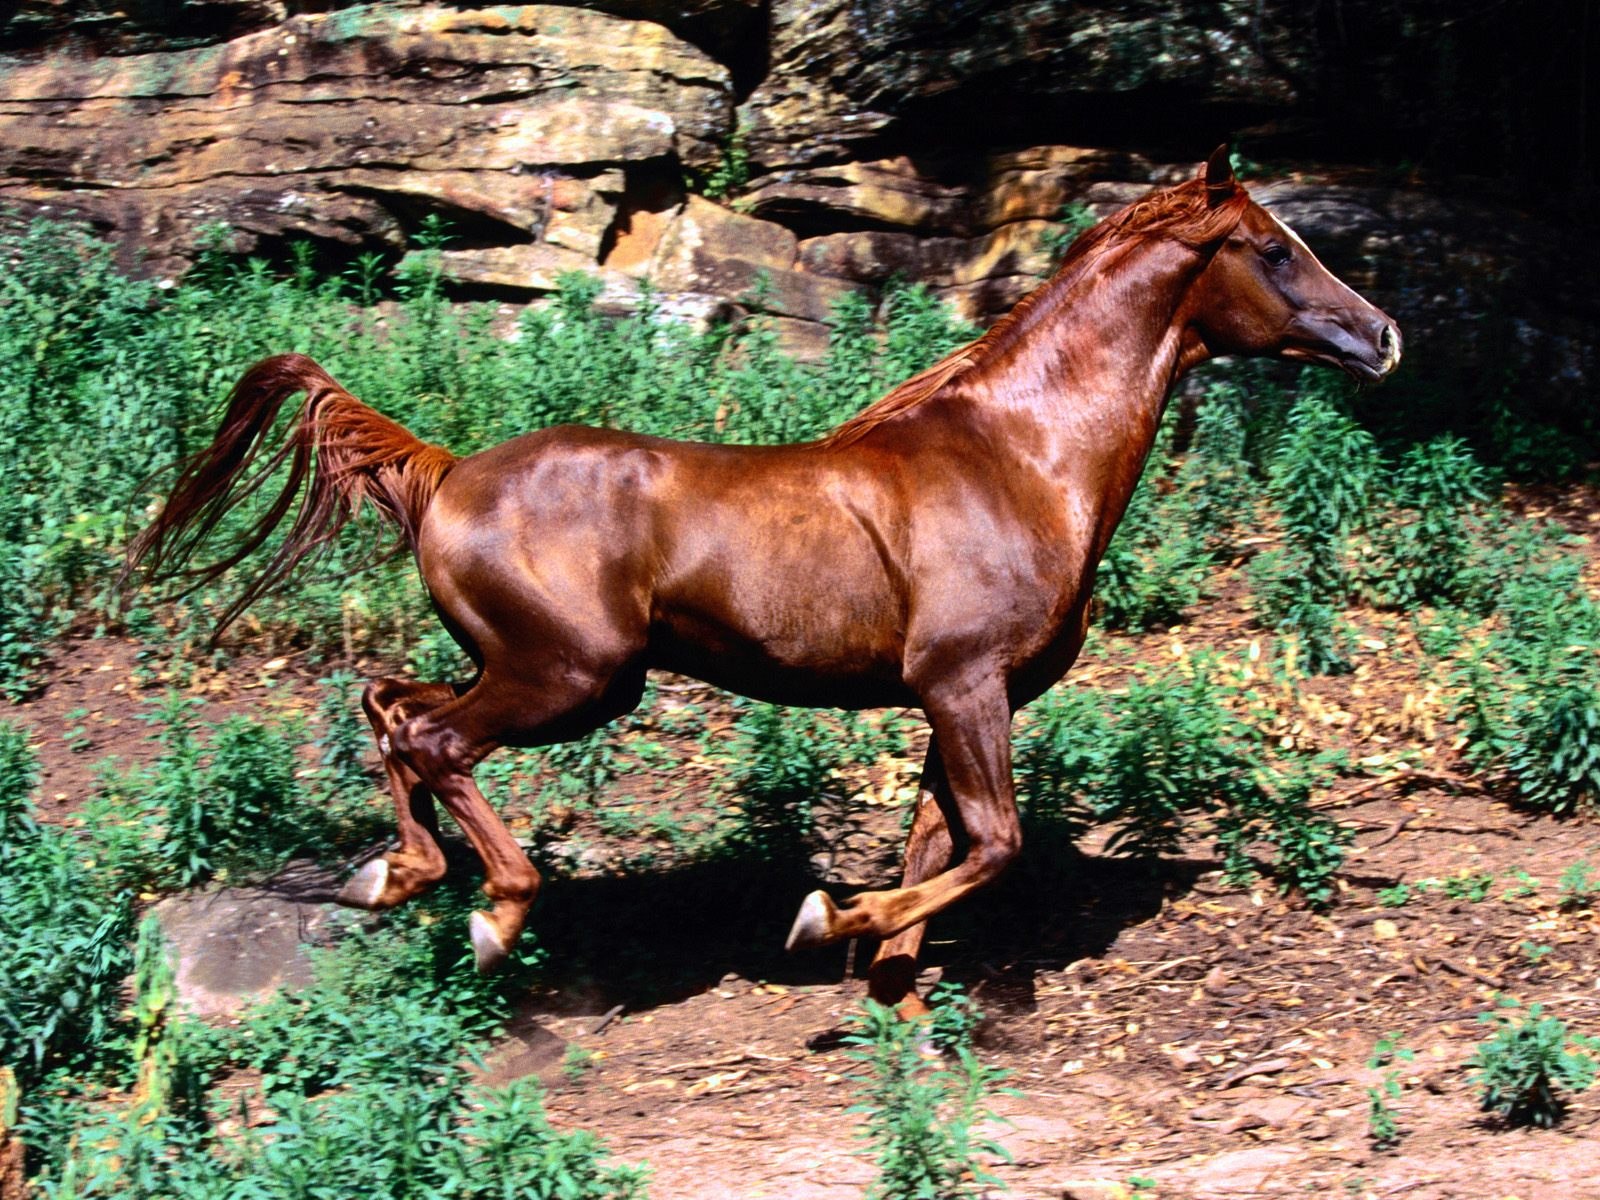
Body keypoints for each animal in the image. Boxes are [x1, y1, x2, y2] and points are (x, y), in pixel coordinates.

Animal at [128, 150, 1401, 1017]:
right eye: (1274, 247)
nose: (1384, 334)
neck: (1022, 460)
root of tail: (444, 472)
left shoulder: (952, 698)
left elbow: (937, 843)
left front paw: (890, 986)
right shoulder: (965, 682)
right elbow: (992, 844)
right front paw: (824, 918)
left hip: (524, 667)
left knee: (390, 708)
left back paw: (389, 876)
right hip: (574, 679)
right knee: (431, 739)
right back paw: (493, 914)